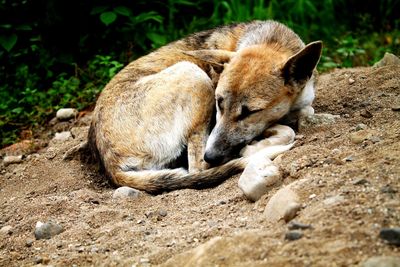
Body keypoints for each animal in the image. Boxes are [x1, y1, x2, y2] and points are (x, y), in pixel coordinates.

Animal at [86, 19, 322, 194]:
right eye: (219, 102)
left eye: (250, 112)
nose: (212, 156)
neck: (273, 40)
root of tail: (111, 164)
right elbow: (287, 131)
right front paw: (255, 145)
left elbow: (303, 114)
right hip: (193, 74)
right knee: (197, 168)